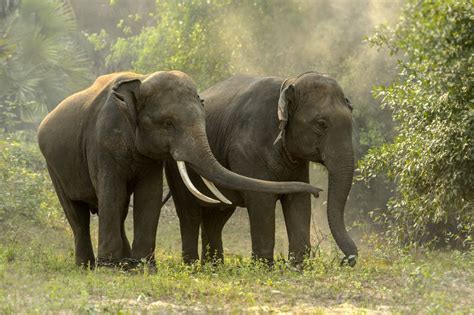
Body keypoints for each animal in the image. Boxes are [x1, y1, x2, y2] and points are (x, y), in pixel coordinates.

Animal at [38, 71, 322, 270]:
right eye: (168, 123)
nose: (318, 190)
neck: (140, 80)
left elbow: (149, 196)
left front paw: (144, 268)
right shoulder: (102, 143)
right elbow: (113, 193)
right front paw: (111, 269)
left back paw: (122, 264)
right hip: (53, 166)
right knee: (78, 214)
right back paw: (89, 266)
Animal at [165, 71, 358, 266]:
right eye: (321, 124)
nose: (344, 260)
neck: (289, 83)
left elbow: (299, 200)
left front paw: (297, 266)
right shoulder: (246, 150)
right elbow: (262, 200)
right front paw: (264, 266)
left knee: (217, 216)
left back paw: (213, 266)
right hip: (176, 168)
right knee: (189, 213)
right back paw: (193, 265)